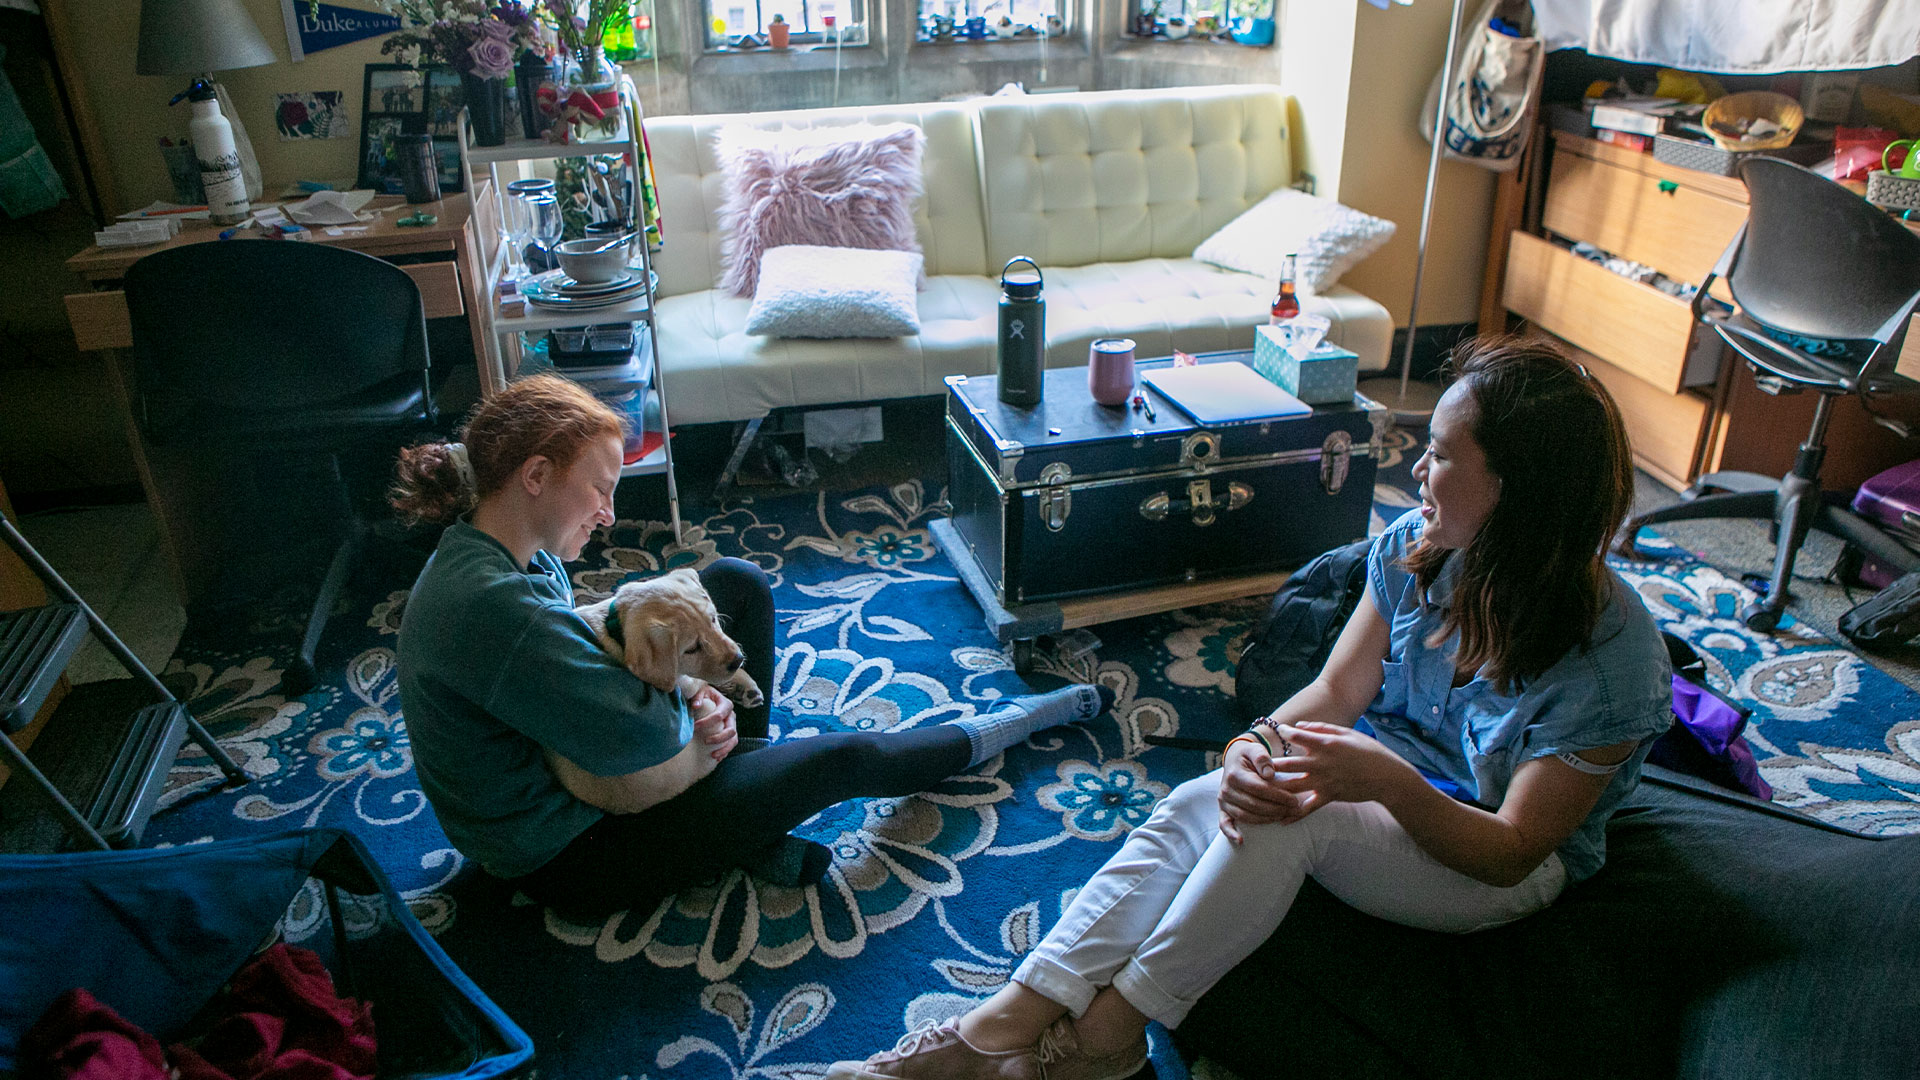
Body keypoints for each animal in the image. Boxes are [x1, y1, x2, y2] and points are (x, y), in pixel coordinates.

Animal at [549, 568, 764, 810]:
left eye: (713, 619)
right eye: (692, 649)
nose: (737, 660)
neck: (617, 631)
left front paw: (744, 683)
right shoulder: (680, 681)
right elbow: (700, 679)